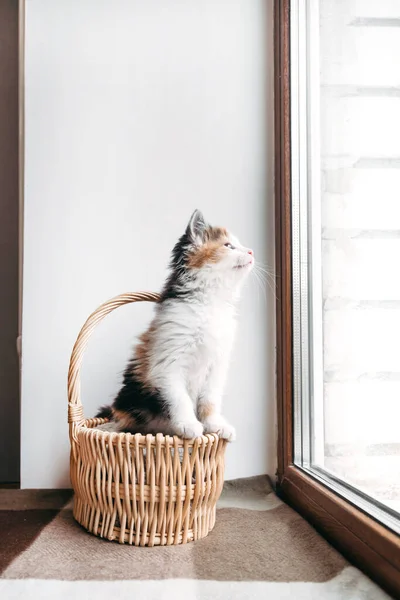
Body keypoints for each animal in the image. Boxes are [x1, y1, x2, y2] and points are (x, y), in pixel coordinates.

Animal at [96, 211, 253, 440]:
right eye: (228, 246)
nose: (251, 251)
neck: (210, 303)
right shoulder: (169, 361)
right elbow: (180, 398)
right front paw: (189, 424)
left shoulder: (217, 365)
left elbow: (210, 400)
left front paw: (215, 425)